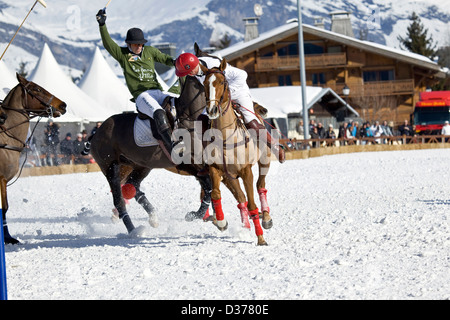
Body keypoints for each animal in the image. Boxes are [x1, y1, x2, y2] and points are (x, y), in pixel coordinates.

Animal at [200, 59, 270, 245]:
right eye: (204, 84)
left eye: (222, 82)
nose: (212, 110)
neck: (225, 138)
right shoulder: (217, 170)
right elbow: (215, 193)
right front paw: (221, 222)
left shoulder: (246, 171)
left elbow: (252, 203)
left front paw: (261, 238)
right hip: (230, 176)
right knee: (241, 198)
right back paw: (246, 224)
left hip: (264, 160)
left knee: (260, 186)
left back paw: (266, 217)